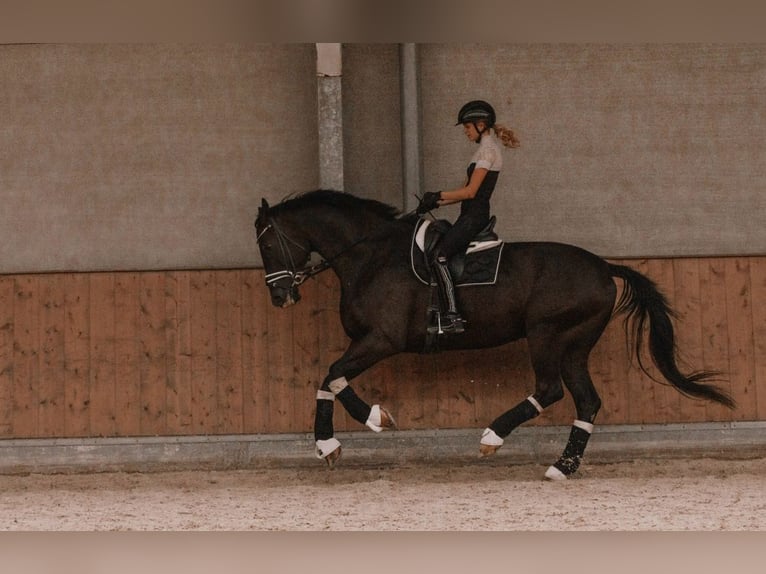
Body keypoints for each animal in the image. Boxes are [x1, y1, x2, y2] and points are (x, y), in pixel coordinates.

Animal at [254, 189, 735, 479]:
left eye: (267, 244)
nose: (279, 296)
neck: (370, 256)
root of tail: (604, 268)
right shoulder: (371, 343)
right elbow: (331, 379)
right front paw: (336, 441)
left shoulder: (382, 340)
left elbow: (332, 375)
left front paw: (365, 423)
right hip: (575, 345)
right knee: (586, 401)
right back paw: (563, 466)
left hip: (546, 334)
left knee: (551, 390)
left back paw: (492, 438)